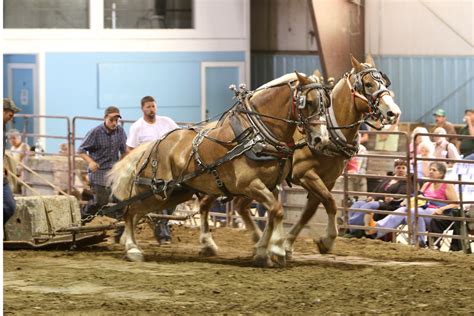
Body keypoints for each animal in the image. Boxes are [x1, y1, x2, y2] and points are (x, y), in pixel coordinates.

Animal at [107, 71, 330, 266]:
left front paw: (264, 251)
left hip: (176, 193)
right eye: (309, 102)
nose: (322, 139)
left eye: (326, 103)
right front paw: (275, 250)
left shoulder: (271, 186)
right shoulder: (251, 185)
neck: (257, 133)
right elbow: (277, 210)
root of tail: (153, 144)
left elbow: (274, 214)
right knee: (130, 211)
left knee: (138, 212)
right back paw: (132, 248)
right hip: (155, 191)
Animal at [196, 55, 400, 256]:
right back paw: (210, 243)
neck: (331, 131)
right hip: (224, 180)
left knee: (239, 205)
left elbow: (310, 212)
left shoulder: (327, 181)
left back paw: (256, 241)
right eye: (368, 84)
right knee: (208, 203)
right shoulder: (306, 175)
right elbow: (330, 203)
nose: (394, 112)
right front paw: (326, 240)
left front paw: (287, 244)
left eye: (385, 83)